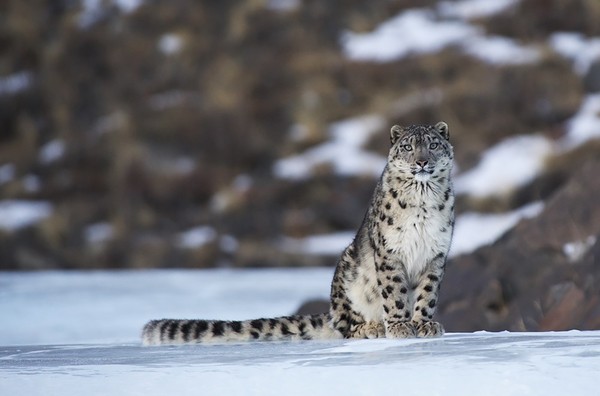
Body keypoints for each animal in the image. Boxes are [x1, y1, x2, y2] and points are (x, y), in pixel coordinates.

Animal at [143, 122, 452, 344]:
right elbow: (395, 291)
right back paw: (371, 327)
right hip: (347, 272)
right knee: (344, 324)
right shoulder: (390, 252)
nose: (422, 161)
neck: (422, 201)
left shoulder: (435, 254)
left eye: (433, 144)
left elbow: (427, 294)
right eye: (408, 146)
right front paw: (400, 326)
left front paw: (424, 324)